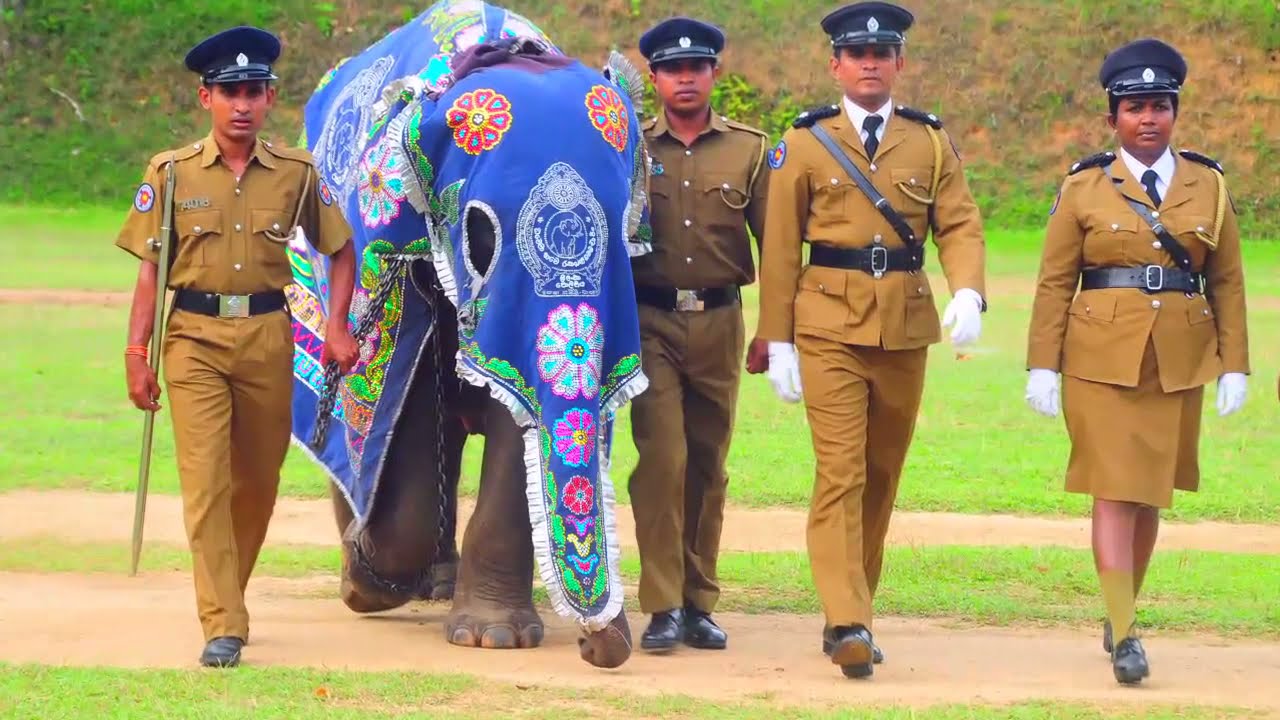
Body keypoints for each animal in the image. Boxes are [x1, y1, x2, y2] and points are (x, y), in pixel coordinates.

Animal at [284, 1, 653, 669]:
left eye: (624, 227)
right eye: (480, 233)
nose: (601, 643)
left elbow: (516, 429)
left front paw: (493, 637)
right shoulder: (396, 259)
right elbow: (401, 424)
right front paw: (366, 574)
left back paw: (435, 583)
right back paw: (368, 557)